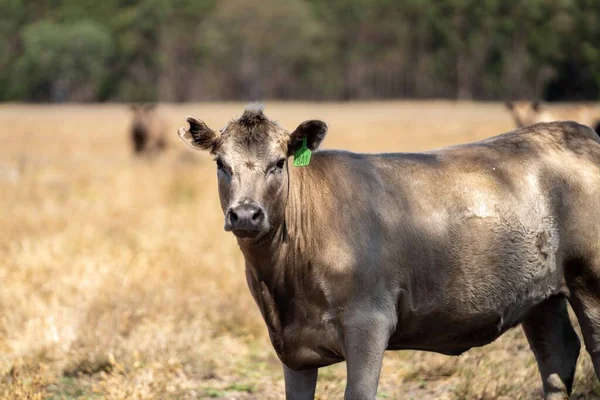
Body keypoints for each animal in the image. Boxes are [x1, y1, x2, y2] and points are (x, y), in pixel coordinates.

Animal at [178, 104, 600, 400]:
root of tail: (576, 131)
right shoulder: (292, 345)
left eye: (279, 163)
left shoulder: (369, 322)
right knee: (557, 360)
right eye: (221, 164)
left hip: (590, 283)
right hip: (540, 296)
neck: (282, 284)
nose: (245, 214)